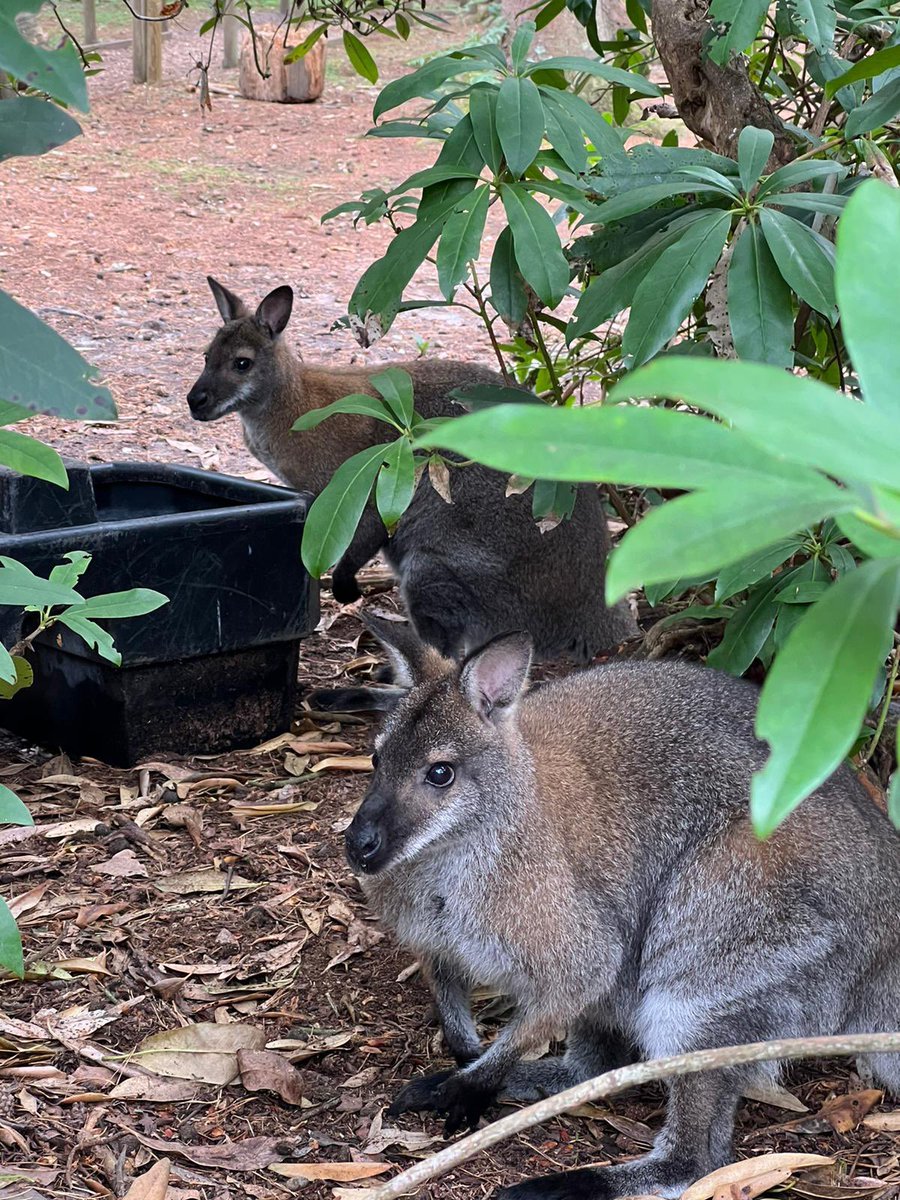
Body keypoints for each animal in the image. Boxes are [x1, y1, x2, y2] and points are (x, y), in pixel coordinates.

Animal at [186, 278, 636, 672]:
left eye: (241, 364)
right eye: (206, 358)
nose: (194, 402)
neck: (289, 404)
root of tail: (598, 615)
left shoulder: (358, 487)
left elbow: (365, 532)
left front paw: (344, 588)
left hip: (445, 562)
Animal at [344, 615, 900, 1200]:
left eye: (441, 774)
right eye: (376, 759)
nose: (358, 847)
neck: (447, 852)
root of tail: (884, 945)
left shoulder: (577, 942)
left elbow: (560, 997)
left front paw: (474, 1080)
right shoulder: (432, 938)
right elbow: (449, 990)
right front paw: (466, 1056)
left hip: (720, 942)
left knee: (696, 1158)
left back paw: (561, 1179)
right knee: (595, 1070)